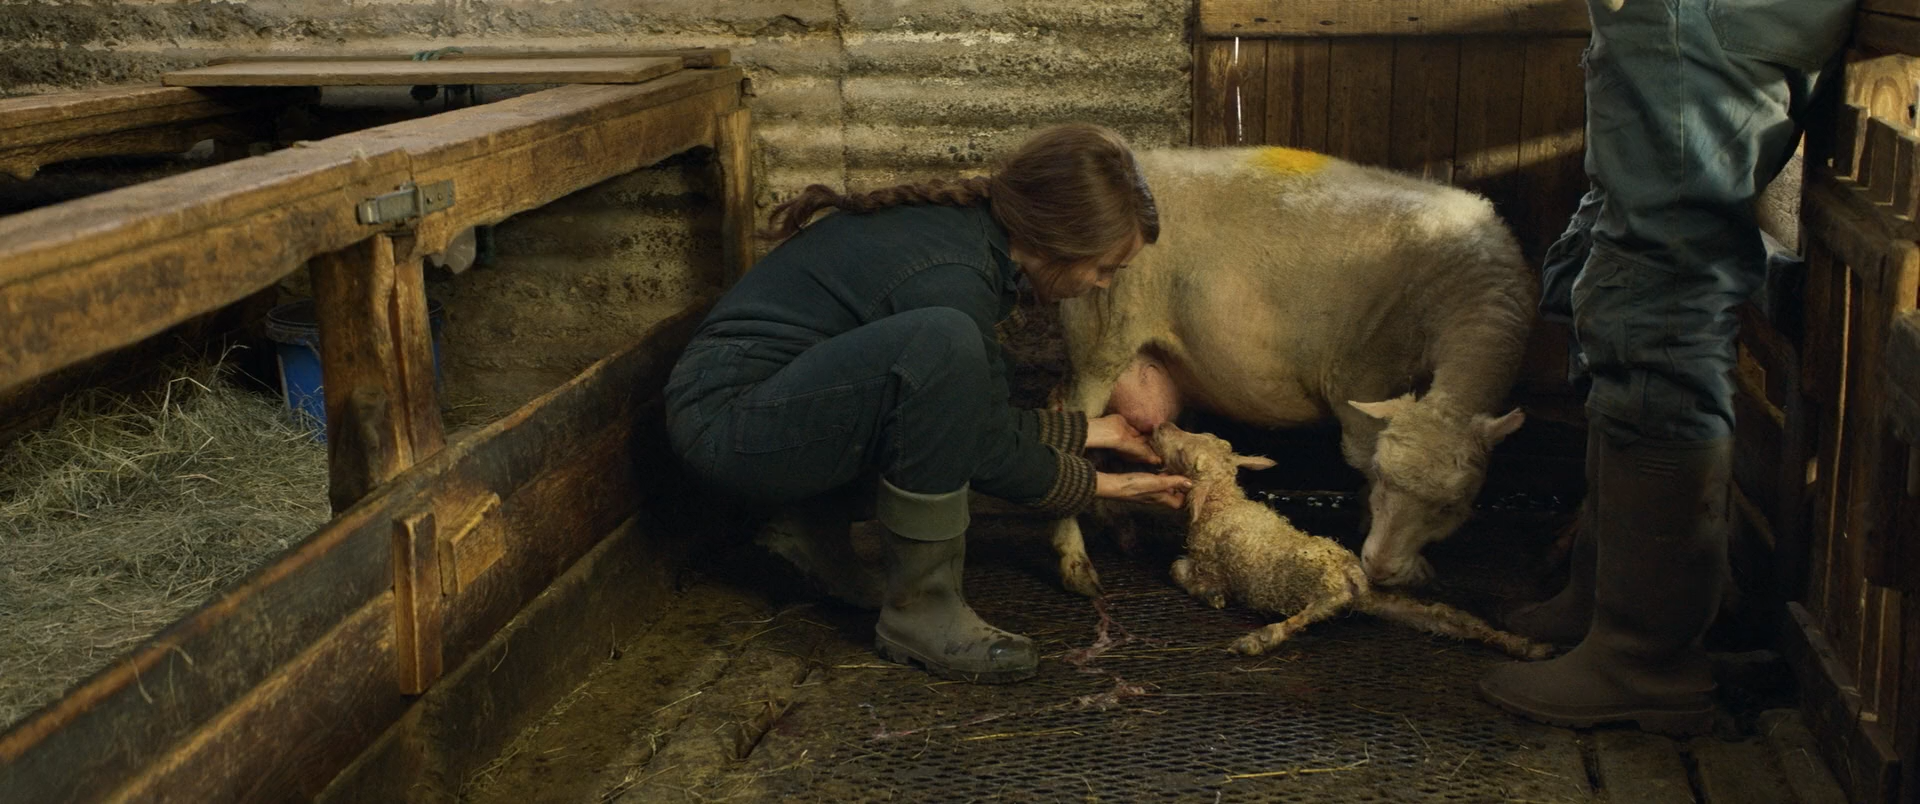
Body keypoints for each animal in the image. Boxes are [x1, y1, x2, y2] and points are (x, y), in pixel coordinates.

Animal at [1152, 422, 1543, 660]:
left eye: (1186, 457)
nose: (1161, 426)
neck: (1223, 503)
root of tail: (1352, 575)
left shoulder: (1209, 563)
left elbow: (1178, 568)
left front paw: (1211, 595)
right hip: (1379, 601)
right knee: (1444, 615)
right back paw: (1524, 645)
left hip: (1324, 590)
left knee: (1313, 611)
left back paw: (1258, 639)